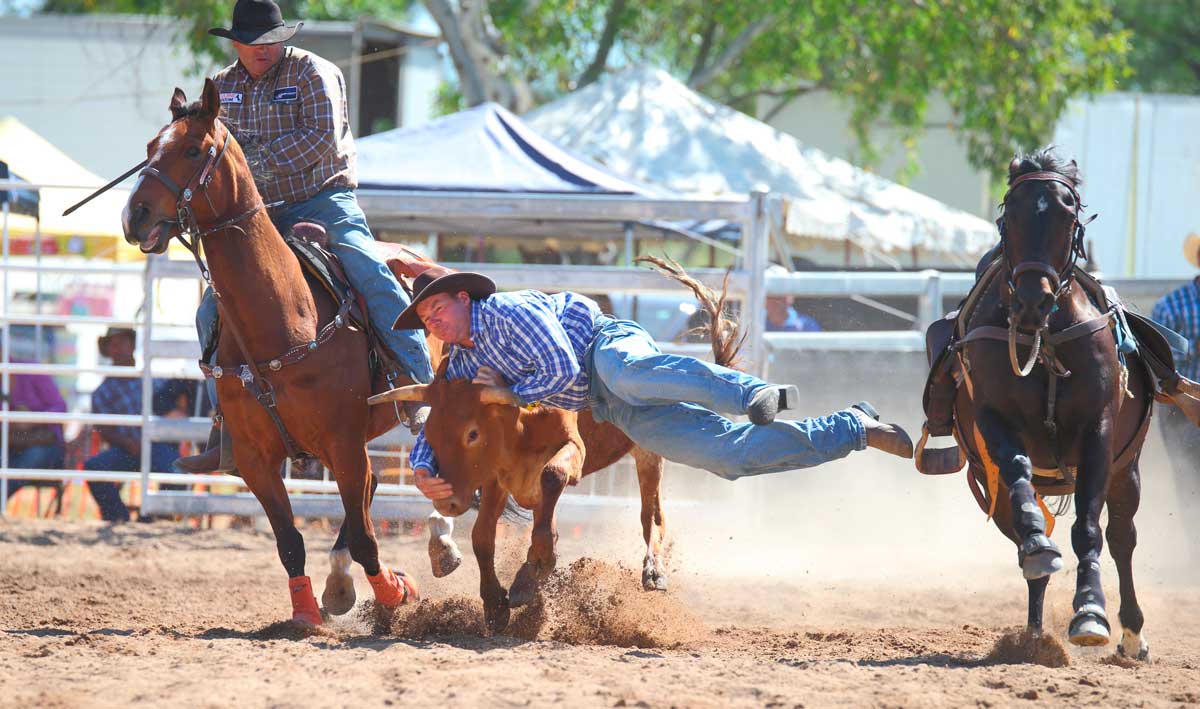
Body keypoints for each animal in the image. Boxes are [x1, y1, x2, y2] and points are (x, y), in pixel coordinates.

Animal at [122, 80, 422, 628]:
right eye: (150, 147)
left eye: (192, 150)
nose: (135, 216)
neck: (284, 317)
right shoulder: (256, 459)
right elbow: (290, 542)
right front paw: (306, 613)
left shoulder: (344, 444)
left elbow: (367, 538)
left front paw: (395, 593)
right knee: (366, 498)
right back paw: (338, 587)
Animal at [945, 149, 1152, 662]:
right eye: (1011, 216)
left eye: (1066, 214)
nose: (1032, 299)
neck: (1045, 339)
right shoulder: (994, 424)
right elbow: (1025, 503)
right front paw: (1040, 549)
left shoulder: (1099, 432)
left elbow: (1090, 530)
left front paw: (1091, 612)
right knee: (1025, 540)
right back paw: (1035, 635)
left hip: (1128, 468)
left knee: (1122, 536)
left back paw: (1131, 634)